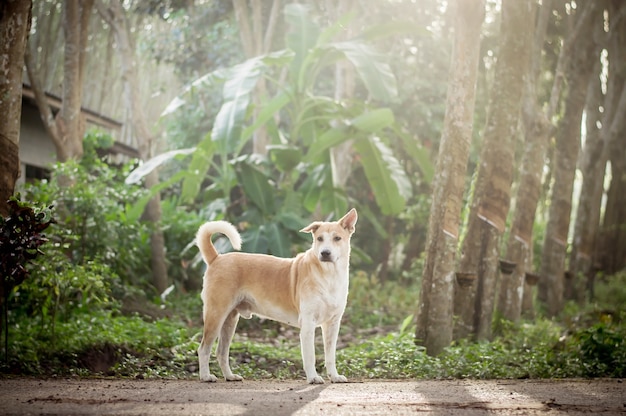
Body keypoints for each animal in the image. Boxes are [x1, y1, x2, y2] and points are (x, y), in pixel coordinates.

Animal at [195, 208, 358, 384]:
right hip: (216, 315)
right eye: (319, 238)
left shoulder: (333, 324)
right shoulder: (308, 324)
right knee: (204, 348)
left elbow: (330, 355)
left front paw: (334, 376)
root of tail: (217, 258)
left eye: (337, 238)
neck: (329, 275)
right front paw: (313, 377)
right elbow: (310, 356)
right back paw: (205, 376)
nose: (325, 253)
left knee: (221, 352)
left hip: (230, 320)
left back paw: (230, 376)